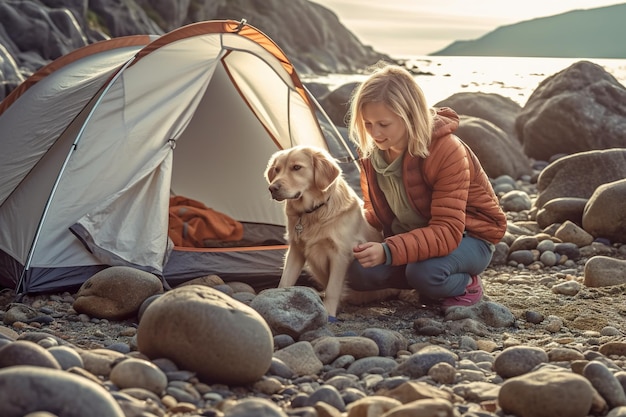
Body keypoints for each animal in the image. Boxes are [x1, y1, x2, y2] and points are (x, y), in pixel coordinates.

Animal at [264, 145, 394, 316]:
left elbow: (333, 289)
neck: (312, 212)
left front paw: (328, 313)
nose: (272, 188)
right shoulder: (296, 250)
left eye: (297, 167)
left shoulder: (340, 254)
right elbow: (285, 281)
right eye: (277, 169)